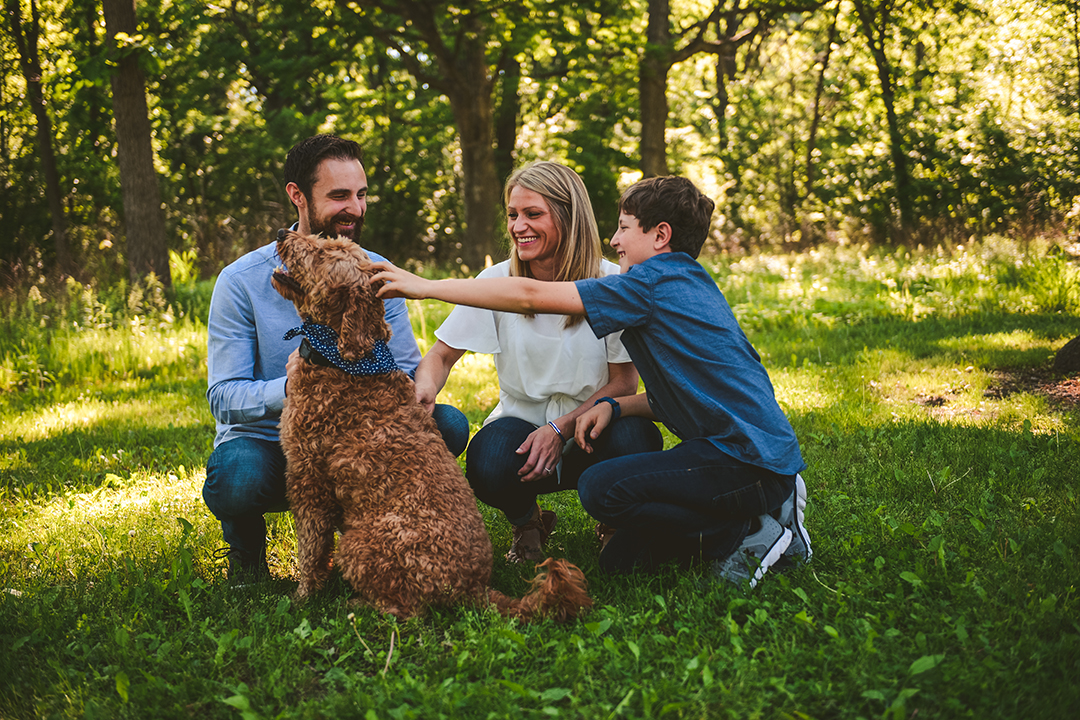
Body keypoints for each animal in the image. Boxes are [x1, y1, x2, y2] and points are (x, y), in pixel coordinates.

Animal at [270, 229, 591, 621]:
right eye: (322, 240)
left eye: (323, 253)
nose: (282, 233)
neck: (343, 361)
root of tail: (474, 588)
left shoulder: (308, 480)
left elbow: (312, 549)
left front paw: (302, 597)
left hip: (359, 543)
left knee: (406, 611)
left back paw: (356, 605)